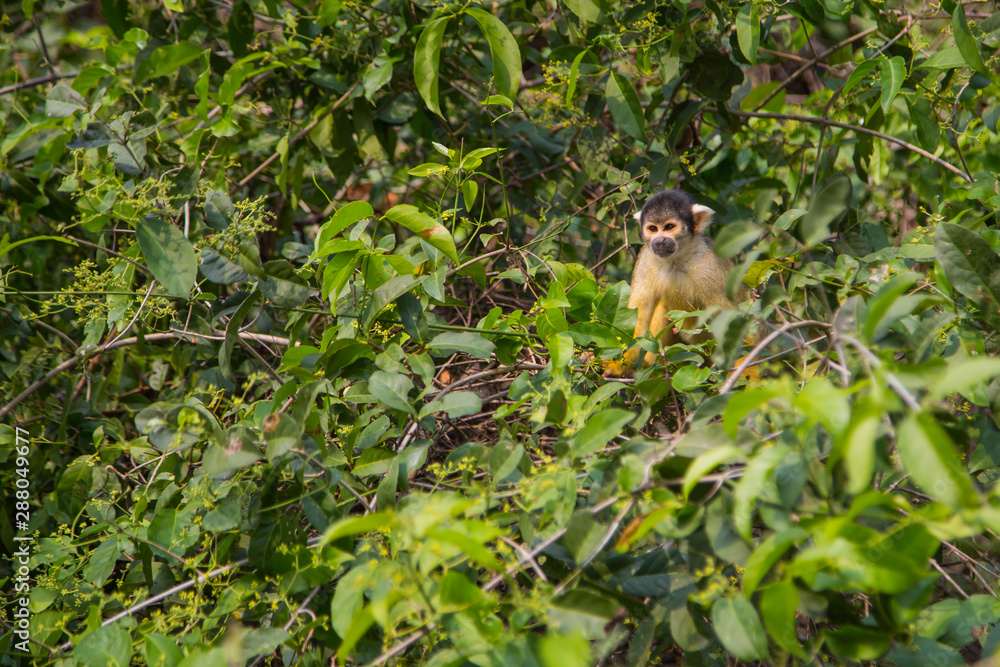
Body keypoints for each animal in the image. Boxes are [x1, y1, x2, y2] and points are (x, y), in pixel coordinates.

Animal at [603, 189, 747, 378]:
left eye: (669, 227)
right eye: (653, 229)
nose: (660, 240)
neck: (676, 260)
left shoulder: (710, 267)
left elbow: (733, 319)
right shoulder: (646, 258)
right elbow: (639, 314)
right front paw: (618, 366)